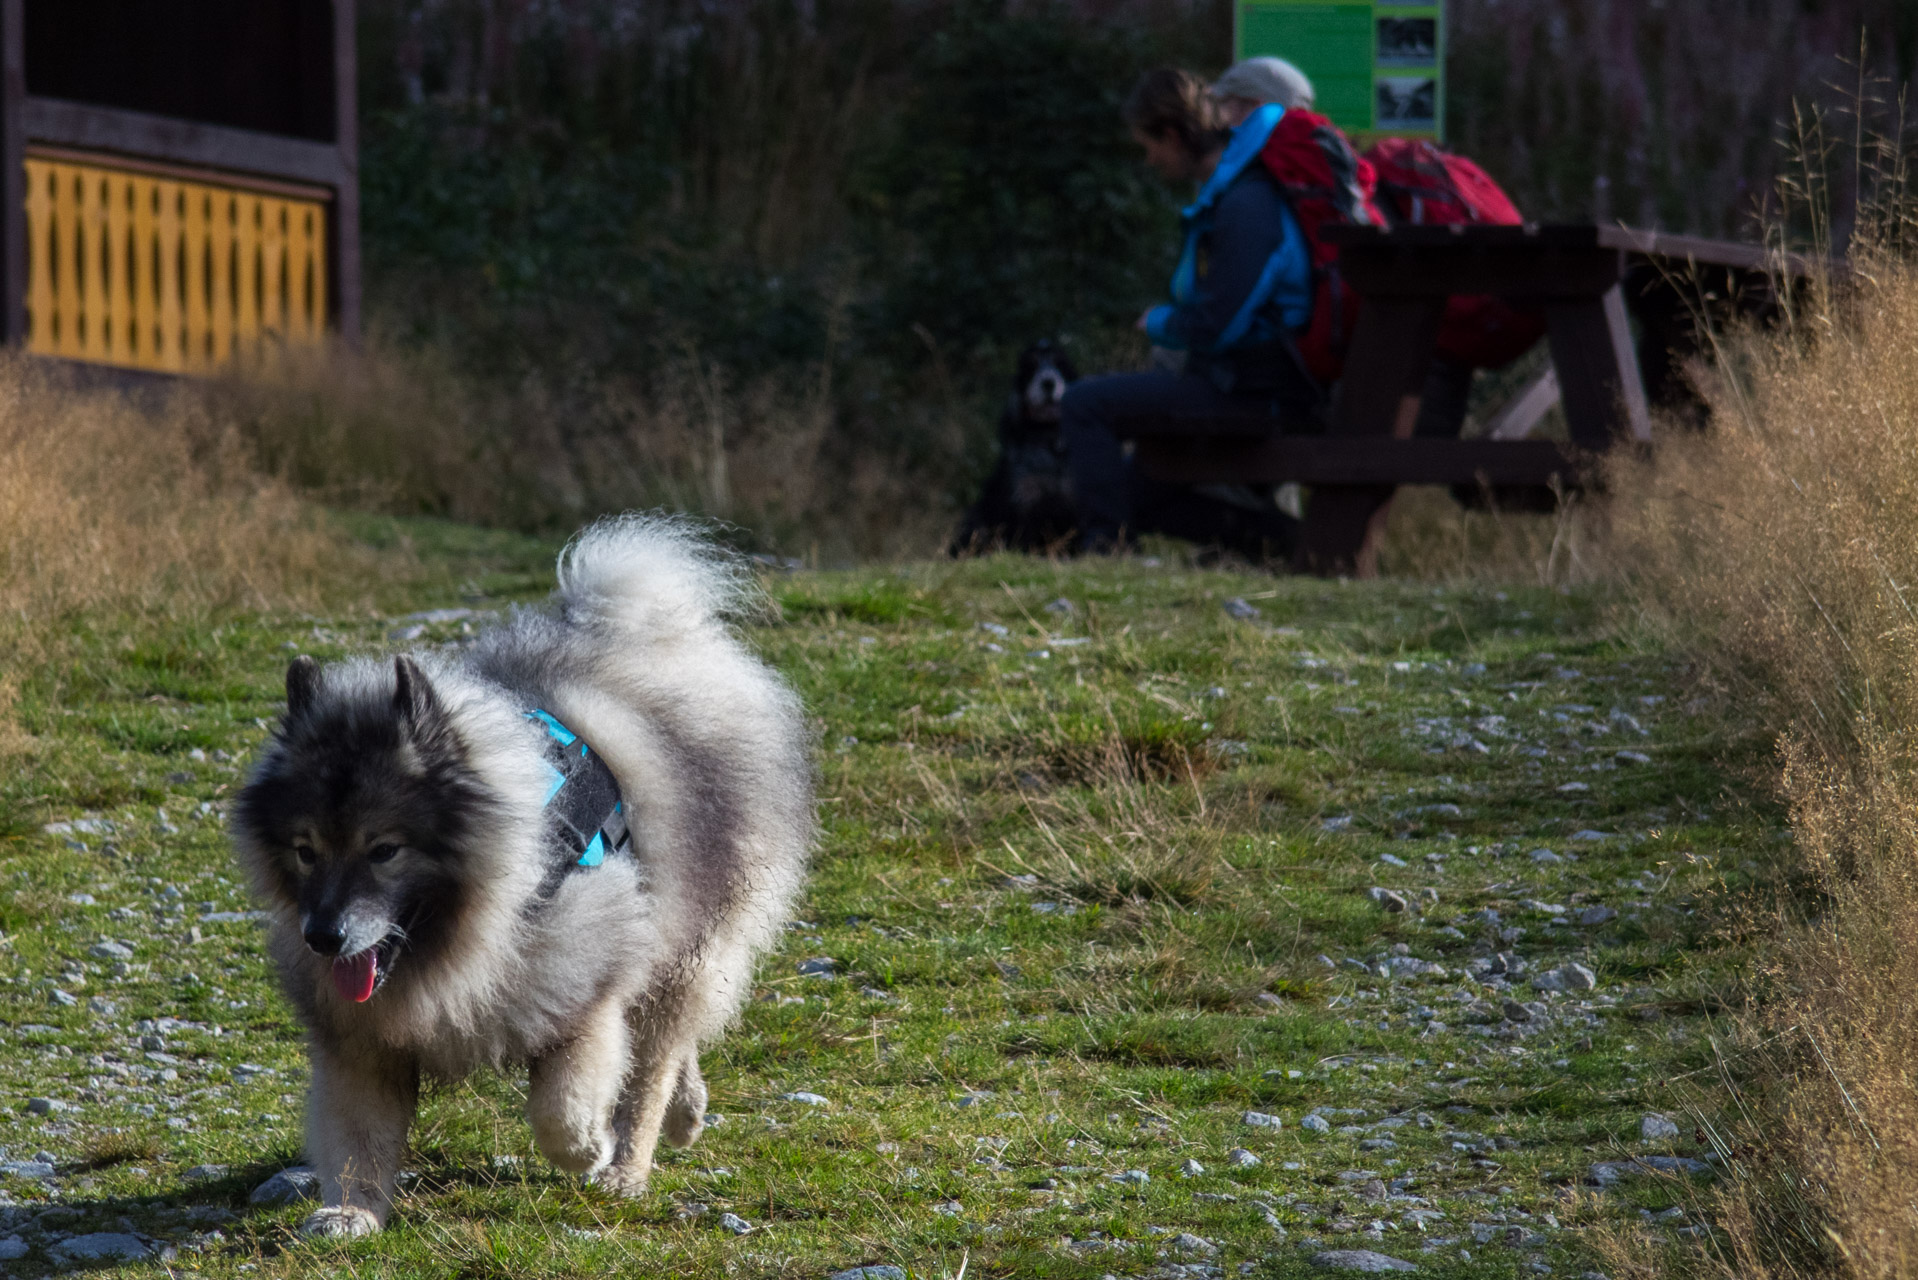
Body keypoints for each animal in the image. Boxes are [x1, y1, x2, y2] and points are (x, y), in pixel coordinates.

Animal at [230, 514, 809, 1235]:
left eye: (384, 850)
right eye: (306, 850)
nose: (324, 937)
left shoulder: (588, 989)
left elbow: (562, 1109)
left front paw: (592, 1150)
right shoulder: (361, 1044)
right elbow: (358, 1138)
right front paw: (350, 1213)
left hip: (688, 936)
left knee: (652, 1063)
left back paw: (628, 1167)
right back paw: (688, 1110)